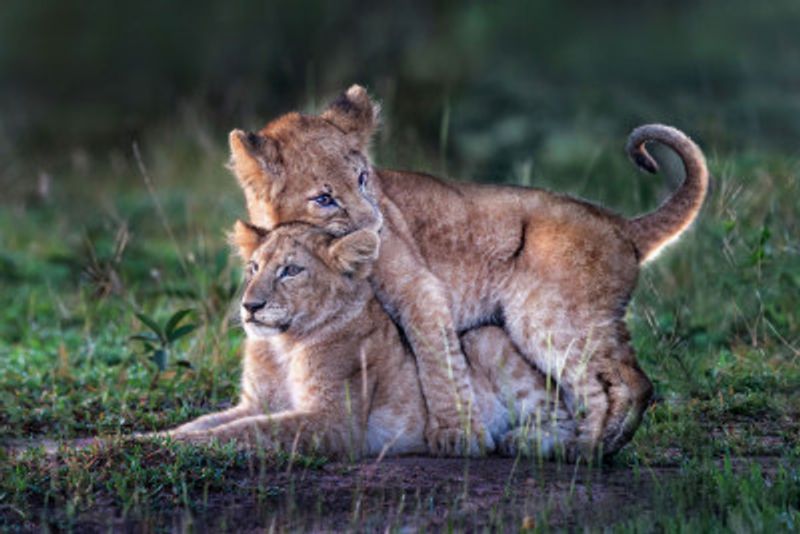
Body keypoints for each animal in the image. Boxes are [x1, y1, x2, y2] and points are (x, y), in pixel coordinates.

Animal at [165, 221, 575, 459]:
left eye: (291, 270)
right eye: (253, 268)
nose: (250, 306)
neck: (281, 346)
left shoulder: (333, 422)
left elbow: (249, 431)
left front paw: (173, 446)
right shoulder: (256, 402)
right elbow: (207, 423)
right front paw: (160, 437)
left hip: (485, 337)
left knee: (564, 419)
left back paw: (524, 442)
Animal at [227, 85, 709, 458]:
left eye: (363, 179)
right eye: (324, 198)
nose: (376, 227)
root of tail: (621, 224)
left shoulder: (420, 289)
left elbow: (437, 361)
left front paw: (457, 435)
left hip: (545, 317)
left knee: (623, 383)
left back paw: (584, 450)